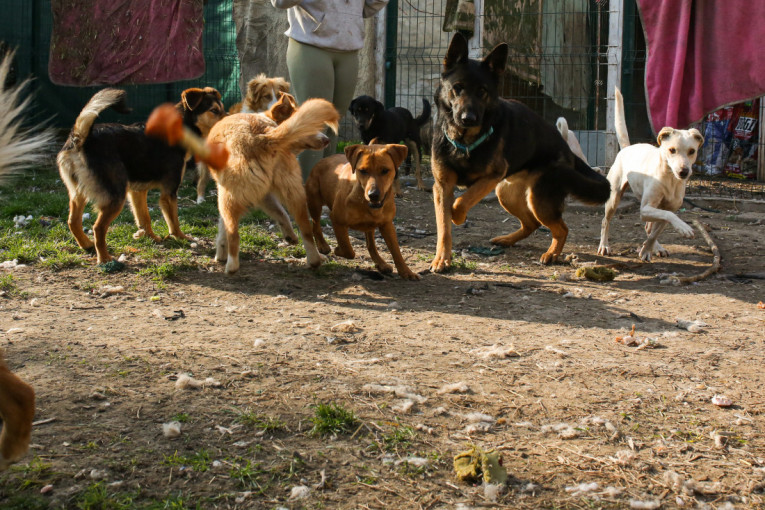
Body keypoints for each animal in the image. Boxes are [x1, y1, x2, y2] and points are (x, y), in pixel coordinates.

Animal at [206, 93, 338, 272]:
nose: (327, 140)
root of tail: (263, 136)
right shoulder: (265, 196)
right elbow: (281, 214)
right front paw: (289, 236)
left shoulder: (229, 192)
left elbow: (223, 229)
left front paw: (221, 254)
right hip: (294, 194)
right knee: (306, 229)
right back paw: (313, 260)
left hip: (228, 199)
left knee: (234, 233)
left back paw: (231, 267)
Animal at [304, 141, 418, 280]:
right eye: (362, 171)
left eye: (385, 170)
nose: (373, 195)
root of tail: (323, 159)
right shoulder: (337, 220)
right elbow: (348, 249)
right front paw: (338, 250)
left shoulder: (387, 224)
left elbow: (396, 250)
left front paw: (406, 272)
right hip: (315, 202)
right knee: (315, 224)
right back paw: (322, 245)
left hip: (370, 225)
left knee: (371, 244)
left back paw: (381, 263)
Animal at [596, 87, 704, 260]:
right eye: (672, 150)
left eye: (692, 151)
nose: (683, 171)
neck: (670, 180)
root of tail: (628, 147)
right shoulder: (644, 209)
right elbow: (668, 217)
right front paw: (684, 227)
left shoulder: (667, 209)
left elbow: (656, 230)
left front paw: (647, 249)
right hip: (613, 199)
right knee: (605, 222)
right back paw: (604, 246)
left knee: (649, 228)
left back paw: (657, 248)